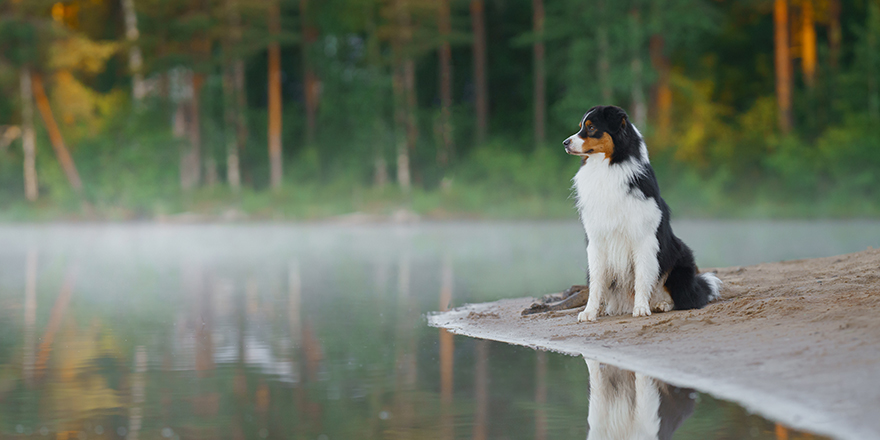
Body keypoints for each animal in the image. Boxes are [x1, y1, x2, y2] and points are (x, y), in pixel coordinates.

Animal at [564, 105, 720, 322]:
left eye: (591, 127)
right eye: (581, 127)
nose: (565, 143)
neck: (607, 168)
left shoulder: (643, 238)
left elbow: (642, 277)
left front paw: (640, 308)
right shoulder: (596, 240)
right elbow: (596, 282)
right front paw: (589, 311)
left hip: (680, 259)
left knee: (684, 298)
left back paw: (660, 305)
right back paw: (605, 308)